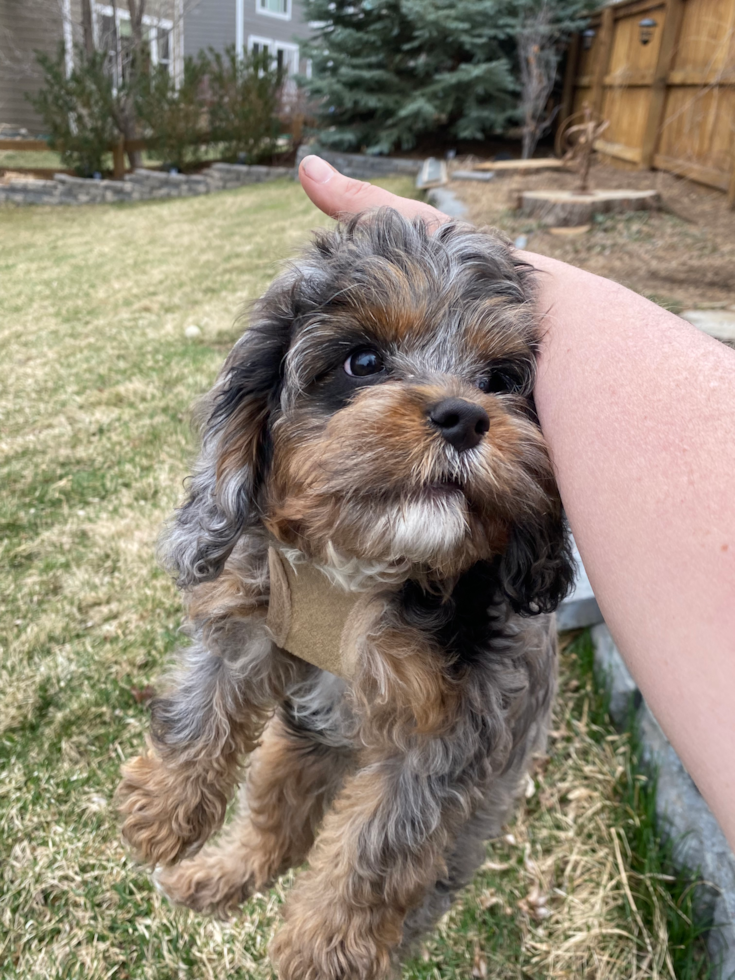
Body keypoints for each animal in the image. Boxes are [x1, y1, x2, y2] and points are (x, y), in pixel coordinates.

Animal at [118, 209, 576, 980]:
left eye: (500, 379)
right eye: (362, 362)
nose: (464, 415)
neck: (368, 561)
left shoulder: (446, 740)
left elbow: (376, 849)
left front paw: (321, 949)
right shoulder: (254, 616)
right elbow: (204, 700)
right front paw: (162, 810)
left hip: (471, 820)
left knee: (411, 889)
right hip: (297, 744)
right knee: (275, 827)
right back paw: (216, 876)